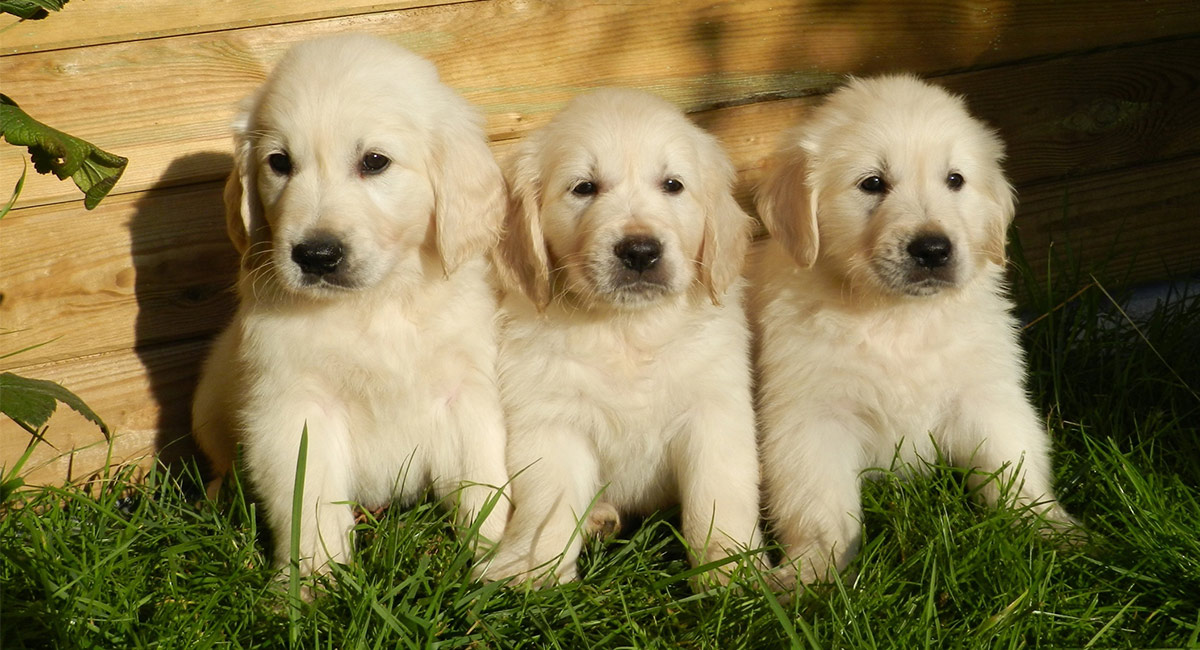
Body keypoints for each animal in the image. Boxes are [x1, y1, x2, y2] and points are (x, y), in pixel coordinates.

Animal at [189, 33, 508, 578]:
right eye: (279, 163)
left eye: (375, 161)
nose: (316, 256)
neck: (373, 305)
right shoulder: (294, 408)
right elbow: (308, 502)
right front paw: (310, 582)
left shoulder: (465, 390)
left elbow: (484, 482)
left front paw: (505, 563)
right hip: (210, 402)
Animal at [475, 88, 763, 590]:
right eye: (584, 188)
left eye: (672, 185)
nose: (641, 251)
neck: (626, 328)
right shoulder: (551, 419)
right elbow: (549, 504)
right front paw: (532, 569)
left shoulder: (714, 409)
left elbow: (719, 494)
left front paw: (733, 570)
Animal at [748, 75, 1080, 590]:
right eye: (872, 183)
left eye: (955, 180)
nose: (933, 250)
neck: (896, 317)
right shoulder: (811, 419)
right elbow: (822, 507)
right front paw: (812, 572)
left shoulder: (986, 396)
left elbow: (1014, 467)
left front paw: (1053, 529)